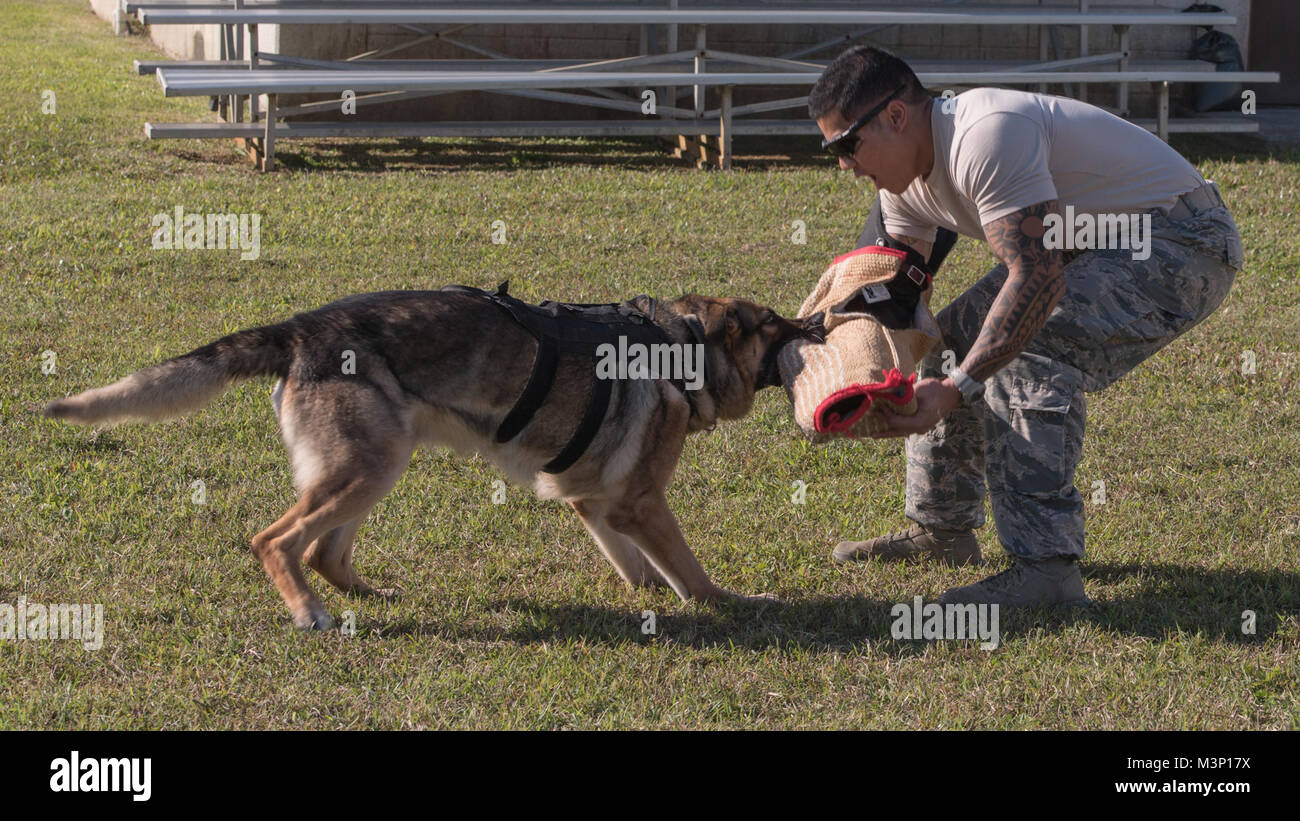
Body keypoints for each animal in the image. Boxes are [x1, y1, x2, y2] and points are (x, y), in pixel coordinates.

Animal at [45, 285, 816, 631]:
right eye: (773, 326)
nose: (816, 325)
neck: (682, 346)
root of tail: (301, 330)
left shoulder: (595, 500)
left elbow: (641, 568)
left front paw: (651, 593)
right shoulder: (641, 503)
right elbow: (693, 572)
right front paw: (733, 602)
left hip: (375, 462)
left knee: (323, 550)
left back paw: (363, 594)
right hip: (365, 468)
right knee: (275, 540)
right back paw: (309, 610)